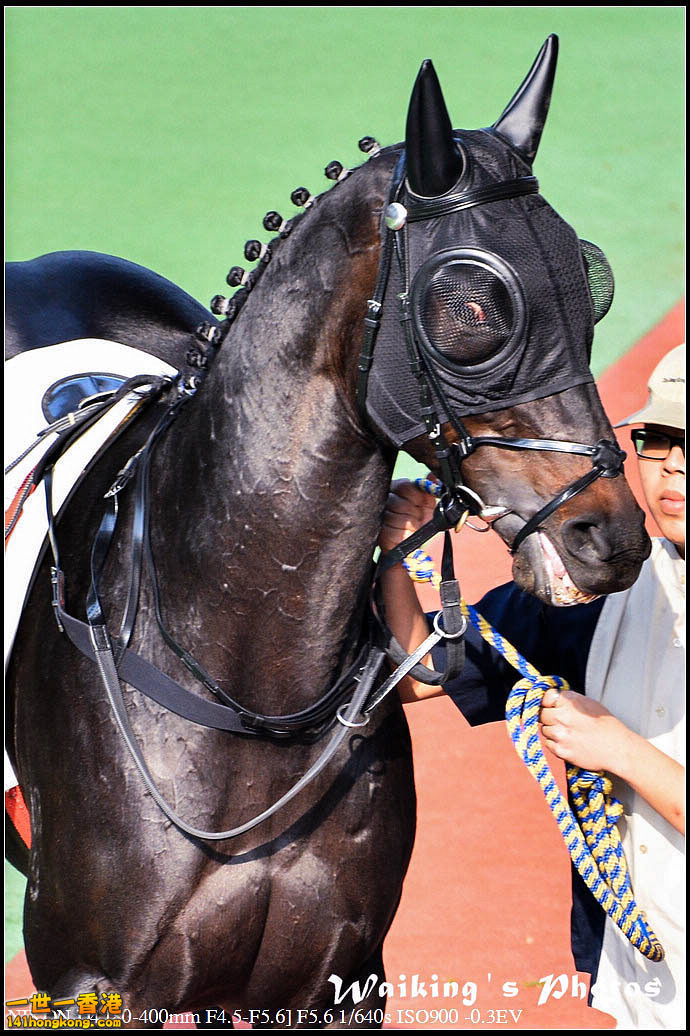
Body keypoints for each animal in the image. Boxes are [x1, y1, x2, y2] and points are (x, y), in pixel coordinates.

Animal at [6, 35, 650, 1027]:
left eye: (592, 291)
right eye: (472, 310)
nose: (608, 537)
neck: (250, 705)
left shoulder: (338, 977)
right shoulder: (90, 982)